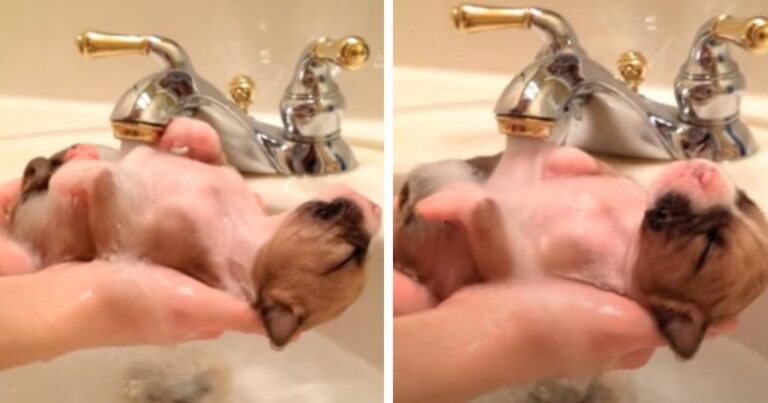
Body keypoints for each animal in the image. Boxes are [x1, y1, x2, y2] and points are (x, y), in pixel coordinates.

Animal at [6, 137, 378, 350]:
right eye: (351, 258)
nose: (369, 210)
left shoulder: (132, 231)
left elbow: (103, 194)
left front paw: (84, 179)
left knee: (40, 176)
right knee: (44, 168)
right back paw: (76, 154)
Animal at [396, 142, 768, 360]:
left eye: (708, 248)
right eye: (746, 199)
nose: (707, 171)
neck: (632, 234)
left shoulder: (509, 264)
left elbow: (487, 216)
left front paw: (460, 198)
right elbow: (581, 160)